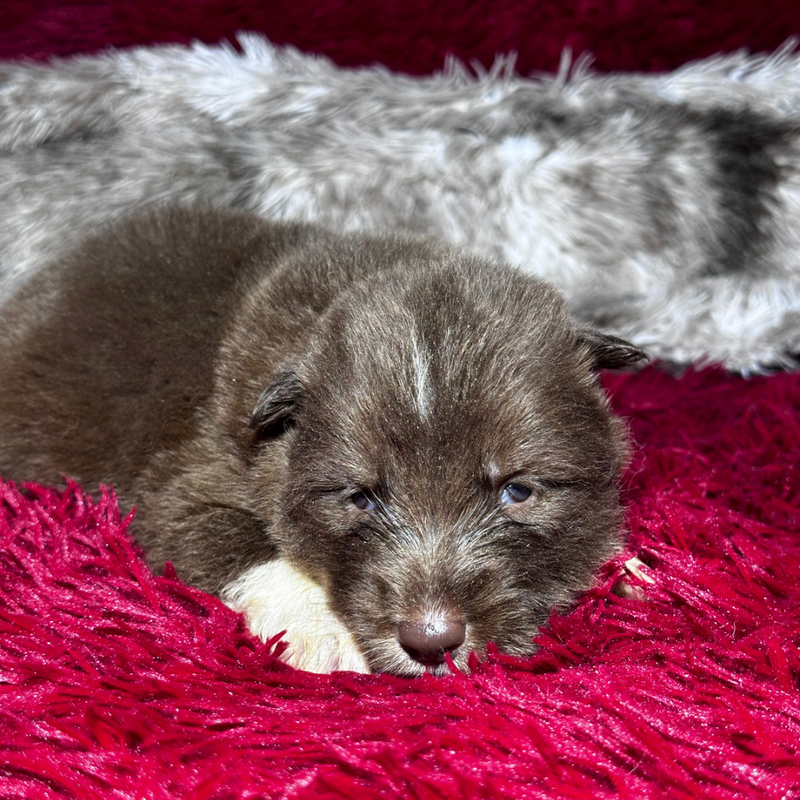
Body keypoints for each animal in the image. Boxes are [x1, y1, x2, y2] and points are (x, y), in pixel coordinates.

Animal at [0, 206, 644, 676]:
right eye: (361, 498)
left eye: (517, 491)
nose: (430, 639)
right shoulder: (187, 481)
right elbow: (247, 545)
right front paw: (322, 630)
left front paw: (626, 564)